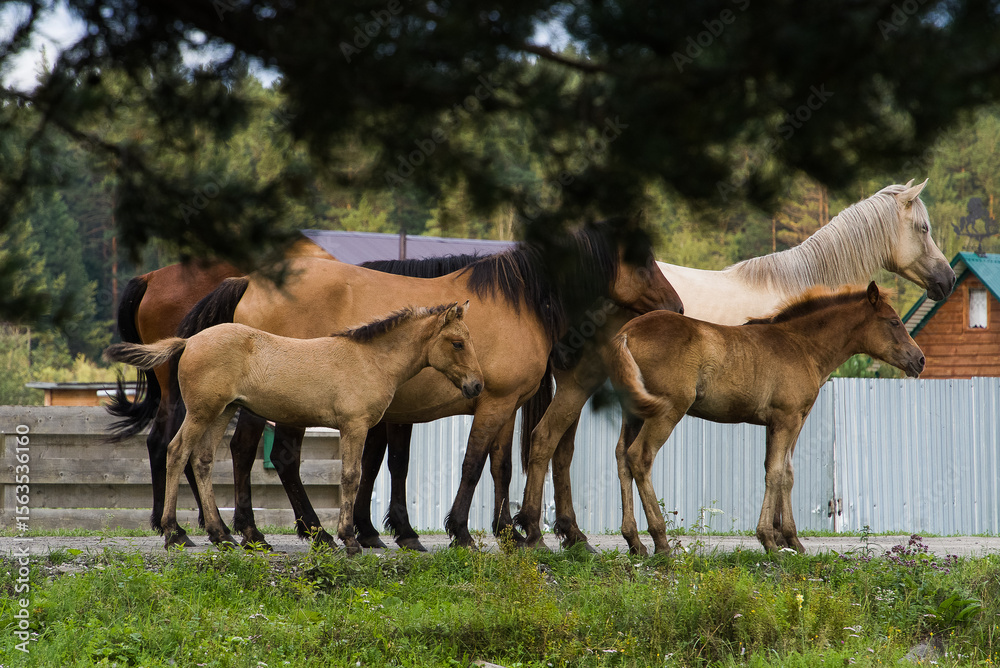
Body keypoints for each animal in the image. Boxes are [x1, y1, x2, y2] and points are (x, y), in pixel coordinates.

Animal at [104, 303, 484, 552]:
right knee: (177, 451)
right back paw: (174, 533)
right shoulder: (354, 425)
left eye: (470, 340)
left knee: (202, 460)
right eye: (457, 343)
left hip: (223, 411)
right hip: (202, 411)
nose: (477, 385)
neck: (370, 360)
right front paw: (349, 538)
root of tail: (190, 341)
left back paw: (221, 535)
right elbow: (352, 475)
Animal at [162, 221, 681, 549]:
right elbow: (472, 464)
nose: (675, 307)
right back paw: (282, 531)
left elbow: (499, 467)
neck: (518, 301)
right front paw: (461, 532)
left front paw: (506, 532)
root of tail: (249, 283)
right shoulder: (494, 403)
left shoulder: (506, 404)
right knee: (268, 455)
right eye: (642, 261)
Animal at [605, 282, 924, 555]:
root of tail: (626, 334)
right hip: (667, 411)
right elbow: (775, 472)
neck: (802, 345)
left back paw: (634, 541)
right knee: (640, 457)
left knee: (621, 455)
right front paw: (770, 540)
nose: (919, 360)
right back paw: (661, 543)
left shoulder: (782, 423)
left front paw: (791, 540)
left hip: (634, 413)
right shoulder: (788, 419)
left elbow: (786, 473)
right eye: (893, 322)